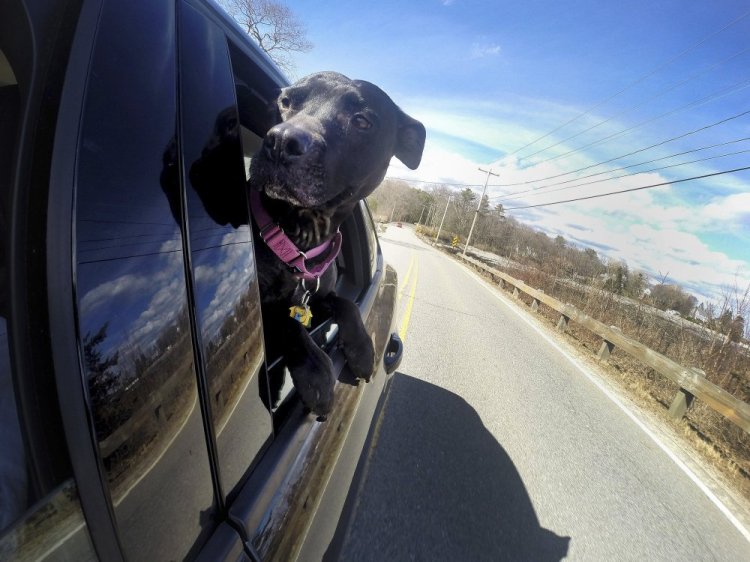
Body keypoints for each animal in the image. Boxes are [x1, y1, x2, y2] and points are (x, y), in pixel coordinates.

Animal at [250, 71, 426, 416]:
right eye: (286, 101)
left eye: (361, 121)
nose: (281, 141)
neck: (300, 238)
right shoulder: (265, 311)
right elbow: (283, 319)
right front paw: (316, 370)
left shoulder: (319, 297)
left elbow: (345, 304)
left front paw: (362, 348)